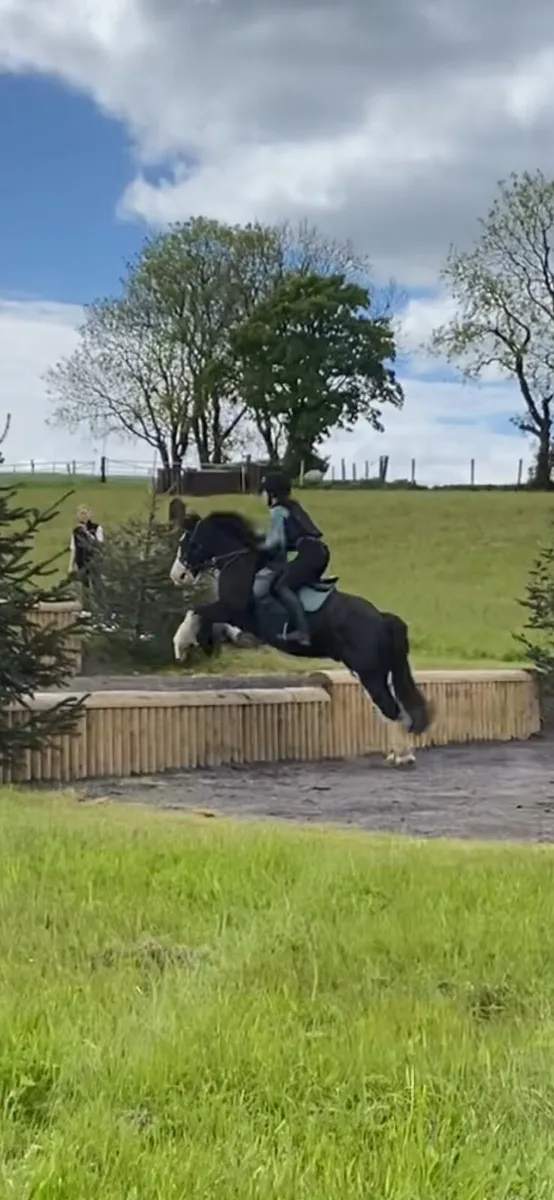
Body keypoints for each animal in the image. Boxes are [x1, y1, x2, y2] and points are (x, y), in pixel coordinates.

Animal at [170, 510, 434, 763]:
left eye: (187, 542)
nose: (178, 576)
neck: (240, 562)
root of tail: (381, 619)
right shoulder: (232, 615)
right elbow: (212, 622)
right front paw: (205, 642)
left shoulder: (232, 609)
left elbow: (197, 611)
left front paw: (181, 646)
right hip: (374, 670)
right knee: (391, 708)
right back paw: (399, 752)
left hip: (369, 672)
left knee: (391, 709)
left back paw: (402, 756)